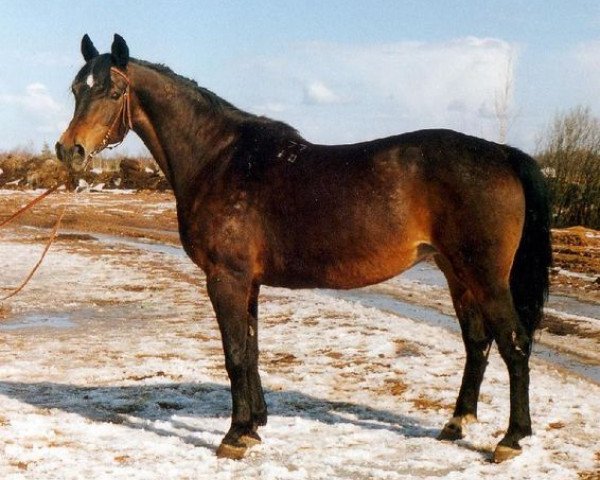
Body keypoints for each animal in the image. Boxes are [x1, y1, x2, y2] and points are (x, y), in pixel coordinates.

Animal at [57, 32, 552, 462]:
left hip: (486, 278)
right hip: (457, 274)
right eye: (76, 89)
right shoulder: (248, 283)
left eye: (111, 90)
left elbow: (234, 354)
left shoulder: (225, 279)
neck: (219, 159)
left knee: (514, 344)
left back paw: (511, 439)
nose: (69, 151)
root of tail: (503, 154)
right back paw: (456, 423)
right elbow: (251, 349)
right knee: (477, 343)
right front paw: (254, 425)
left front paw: (234, 436)